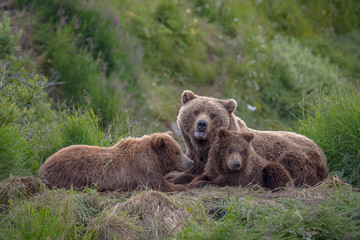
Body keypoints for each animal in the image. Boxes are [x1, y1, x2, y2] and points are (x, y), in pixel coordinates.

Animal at [38, 132, 194, 192]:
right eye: (177, 152)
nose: (191, 162)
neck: (154, 160)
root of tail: (43, 165)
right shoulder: (142, 170)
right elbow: (160, 185)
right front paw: (186, 185)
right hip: (71, 172)